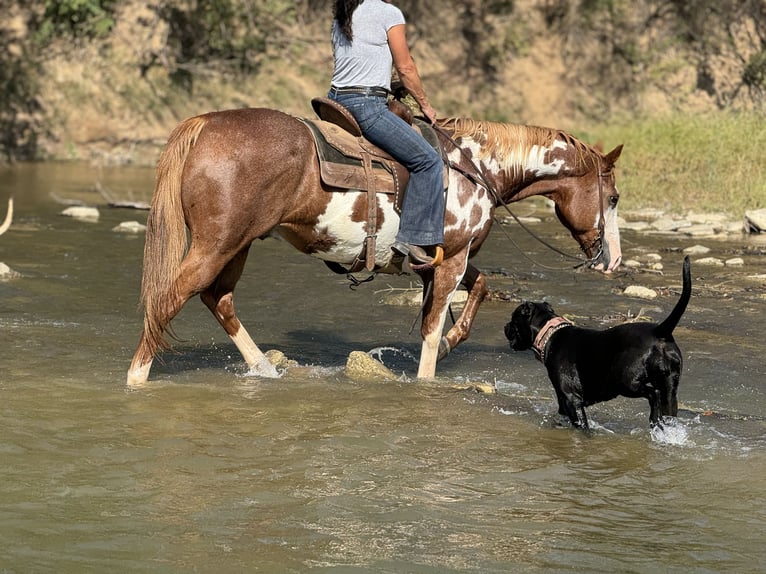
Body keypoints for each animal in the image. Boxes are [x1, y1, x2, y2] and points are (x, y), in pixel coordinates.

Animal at [127, 108, 624, 388]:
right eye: (615, 197)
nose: (612, 259)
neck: (477, 168)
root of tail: (205, 124)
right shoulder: (451, 261)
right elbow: (431, 329)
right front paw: (429, 375)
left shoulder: (444, 260)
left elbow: (477, 290)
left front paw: (452, 343)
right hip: (217, 243)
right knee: (170, 299)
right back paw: (137, 379)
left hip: (239, 244)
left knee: (219, 299)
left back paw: (265, 371)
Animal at [508, 258, 692, 430]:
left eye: (513, 318)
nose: (505, 326)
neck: (550, 333)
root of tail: (659, 331)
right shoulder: (563, 401)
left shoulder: (571, 398)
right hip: (669, 389)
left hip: (626, 382)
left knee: (654, 394)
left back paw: (654, 419)